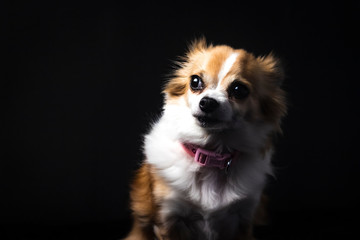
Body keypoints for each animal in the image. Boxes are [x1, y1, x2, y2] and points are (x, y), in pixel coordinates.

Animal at [124, 38, 286, 239]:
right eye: (195, 82)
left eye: (239, 90)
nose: (207, 102)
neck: (211, 155)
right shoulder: (168, 219)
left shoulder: (243, 219)